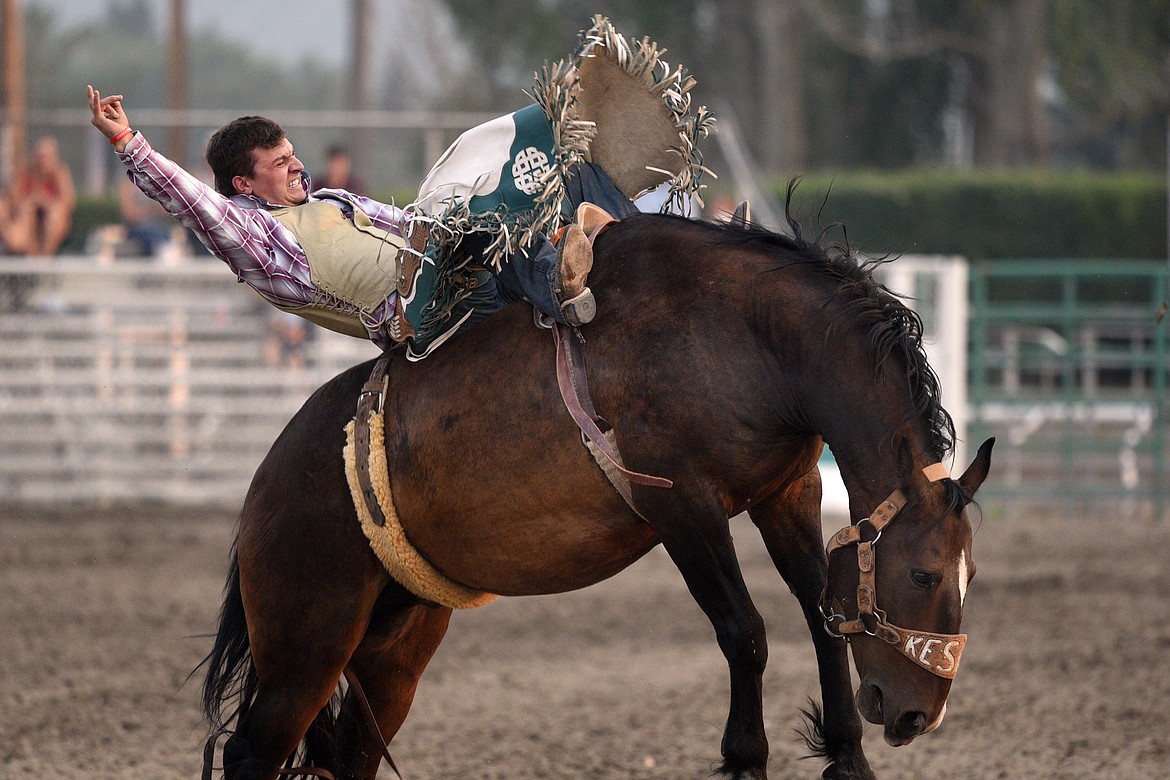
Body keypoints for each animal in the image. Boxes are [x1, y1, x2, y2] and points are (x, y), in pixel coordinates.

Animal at [198, 209, 987, 780]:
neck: (750, 339)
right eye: (923, 574)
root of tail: (269, 476)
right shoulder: (682, 506)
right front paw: (744, 758)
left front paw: (847, 757)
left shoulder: (787, 490)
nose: (917, 716)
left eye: (970, 576)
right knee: (252, 752)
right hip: (306, 641)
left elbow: (823, 615)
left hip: (394, 643)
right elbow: (746, 634)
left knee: (347, 752)